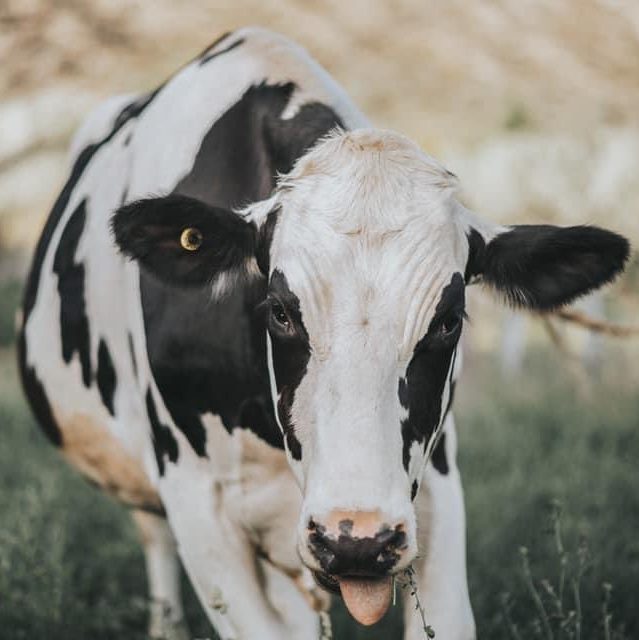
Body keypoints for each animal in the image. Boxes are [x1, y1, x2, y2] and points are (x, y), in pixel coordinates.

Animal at [17, 26, 629, 640]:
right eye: (280, 311)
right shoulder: (196, 501)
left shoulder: (433, 482)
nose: (356, 539)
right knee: (155, 541)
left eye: (449, 320)